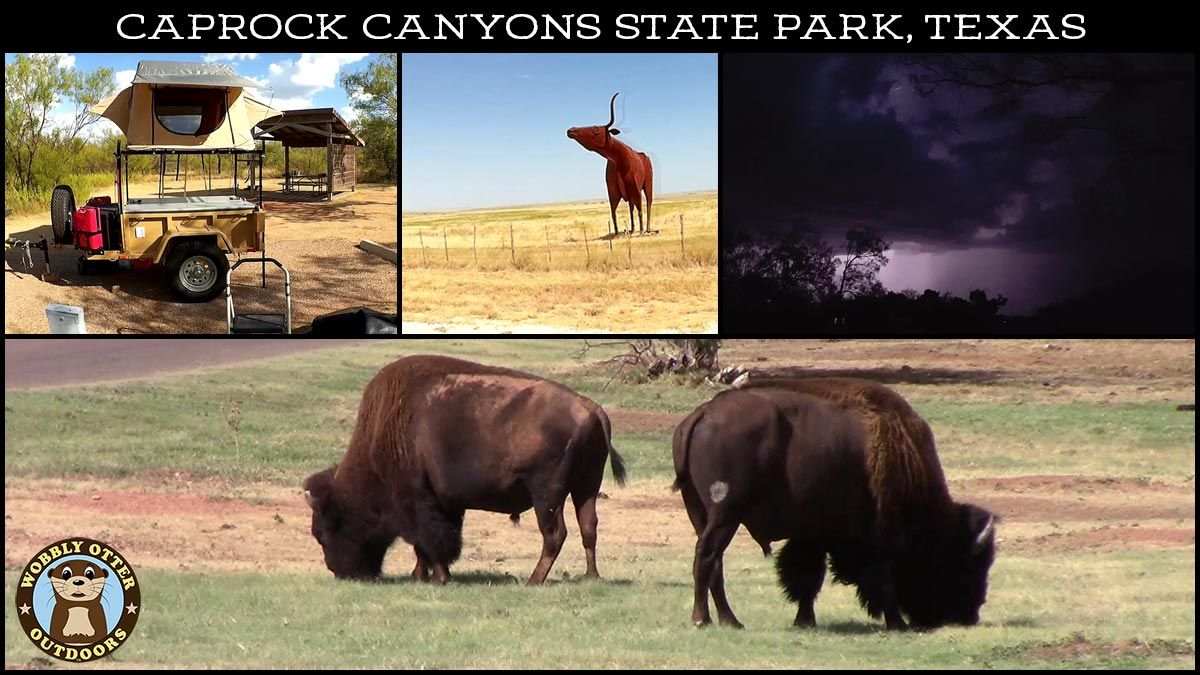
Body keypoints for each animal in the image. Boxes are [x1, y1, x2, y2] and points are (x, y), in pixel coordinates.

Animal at [302, 355, 628, 581]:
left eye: (324, 532)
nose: (339, 572)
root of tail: (592, 409)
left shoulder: (419, 502)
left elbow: (428, 541)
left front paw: (437, 577)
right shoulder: (446, 504)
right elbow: (435, 541)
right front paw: (423, 576)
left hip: (547, 494)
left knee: (555, 534)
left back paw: (534, 580)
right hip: (586, 487)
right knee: (588, 528)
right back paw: (590, 576)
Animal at [564, 91, 652, 234]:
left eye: (595, 128)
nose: (571, 130)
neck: (621, 161)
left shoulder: (636, 188)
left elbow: (640, 210)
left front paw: (641, 231)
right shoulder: (612, 191)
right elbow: (614, 213)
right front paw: (616, 233)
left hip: (647, 184)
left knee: (648, 202)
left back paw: (647, 229)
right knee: (631, 208)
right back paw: (632, 229)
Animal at [676, 374, 993, 629]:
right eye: (966, 564)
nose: (969, 615)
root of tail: (703, 413)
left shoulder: (813, 535)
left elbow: (807, 577)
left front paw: (805, 620)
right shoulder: (878, 538)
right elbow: (881, 579)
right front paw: (897, 622)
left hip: (701, 512)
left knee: (714, 563)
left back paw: (729, 621)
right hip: (725, 514)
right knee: (707, 556)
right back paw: (704, 620)